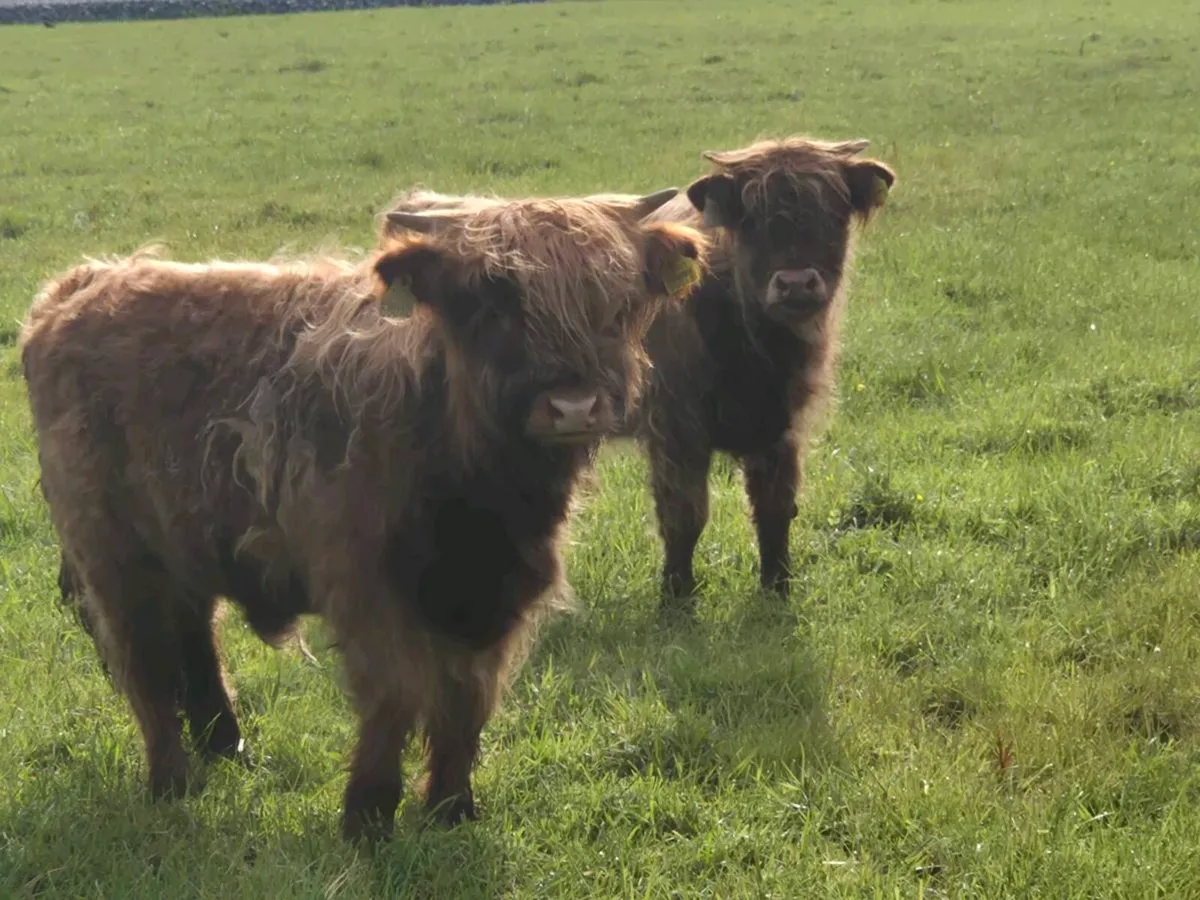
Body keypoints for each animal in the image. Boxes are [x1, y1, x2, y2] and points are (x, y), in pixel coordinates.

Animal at [19, 191, 709, 842]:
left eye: (616, 303)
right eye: (493, 302)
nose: (572, 407)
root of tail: (84, 282)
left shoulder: (498, 593)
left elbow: (467, 700)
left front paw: (452, 809)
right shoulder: (365, 586)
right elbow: (396, 695)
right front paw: (368, 816)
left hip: (184, 540)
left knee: (194, 637)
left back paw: (227, 748)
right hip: (113, 554)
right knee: (146, 661)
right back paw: (172, 782)